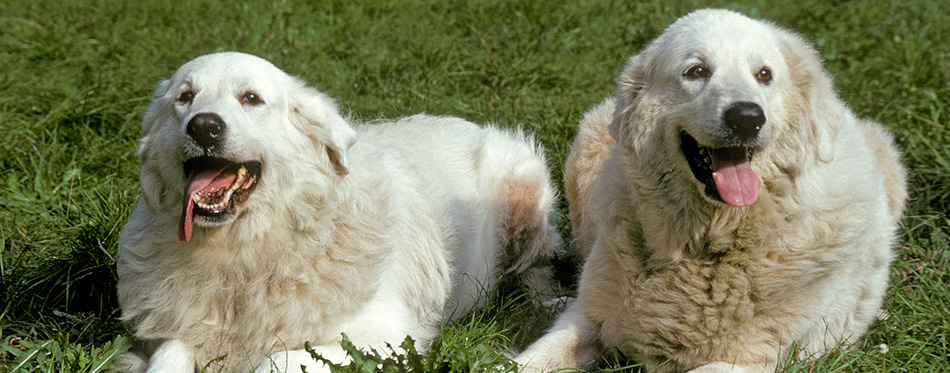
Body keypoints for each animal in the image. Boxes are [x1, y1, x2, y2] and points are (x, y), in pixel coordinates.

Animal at [115, 50, 560, 370]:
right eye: (185, 98)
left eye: (251, 99)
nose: (203, 126)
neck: (247, 253)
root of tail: (467, 122)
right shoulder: (179, 325)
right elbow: (168, 355)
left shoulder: (386, 338)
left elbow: (277, 358)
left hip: (525, 193)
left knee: (538, 266)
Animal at [520, 8, 908, 372]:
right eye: (696, 71)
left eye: (764, 75)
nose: (747, 118)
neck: (706, 244)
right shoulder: (589, 320)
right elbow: (530, 357)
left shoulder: (757, 360)